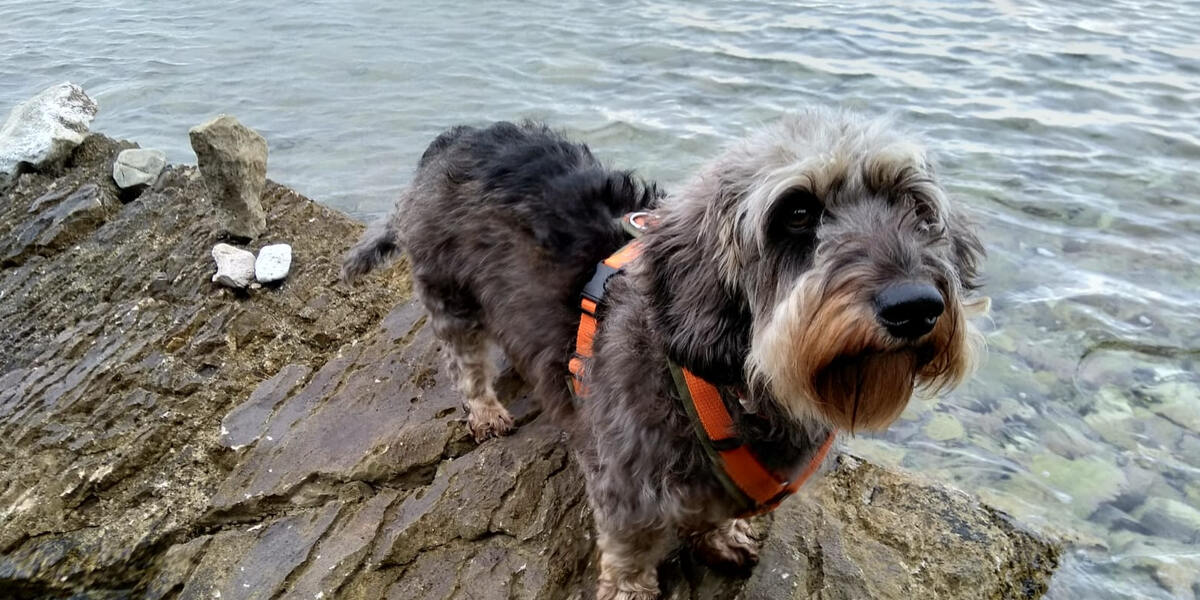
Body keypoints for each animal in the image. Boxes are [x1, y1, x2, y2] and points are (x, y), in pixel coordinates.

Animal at [343, 110, 988, 597]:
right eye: (798, 212)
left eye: (916, 208)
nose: (915, 306)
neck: (727, 382)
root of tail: (453, 138)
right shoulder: (625, 489)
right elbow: (629, 553)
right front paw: (632, 589)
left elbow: (714, 516)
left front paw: (722, 538)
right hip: (450, 293)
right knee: (466, 360)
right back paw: (485, 409)